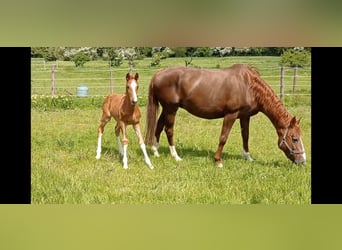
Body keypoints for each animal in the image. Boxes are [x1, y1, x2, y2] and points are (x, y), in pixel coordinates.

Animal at [146, 63, 306, 167]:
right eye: (295, 138)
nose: (303, 161)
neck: (249, 85)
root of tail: (158, 74)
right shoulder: (231, 115)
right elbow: (223, 137)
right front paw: (218, 161)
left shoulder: (245, 116)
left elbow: (245, 136)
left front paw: (248, 157)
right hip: (171, 109)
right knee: (169, 130)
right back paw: (176, 156)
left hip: (166, 109)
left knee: (158, 126)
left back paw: (155, 151)